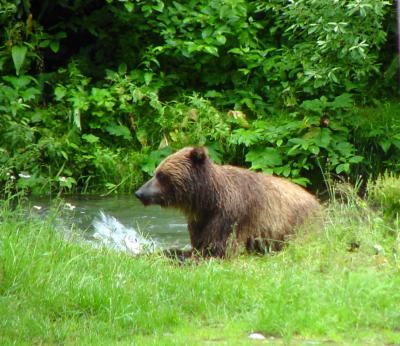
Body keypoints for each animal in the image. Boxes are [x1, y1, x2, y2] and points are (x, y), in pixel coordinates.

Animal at [136, 146, 320, 256]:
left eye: (161, 175)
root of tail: (317, 201)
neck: (207, 200)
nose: (139, 193)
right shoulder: (199, 220)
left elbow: (216, 249)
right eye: (156, 172)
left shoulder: (231, 215)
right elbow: (196, 246)